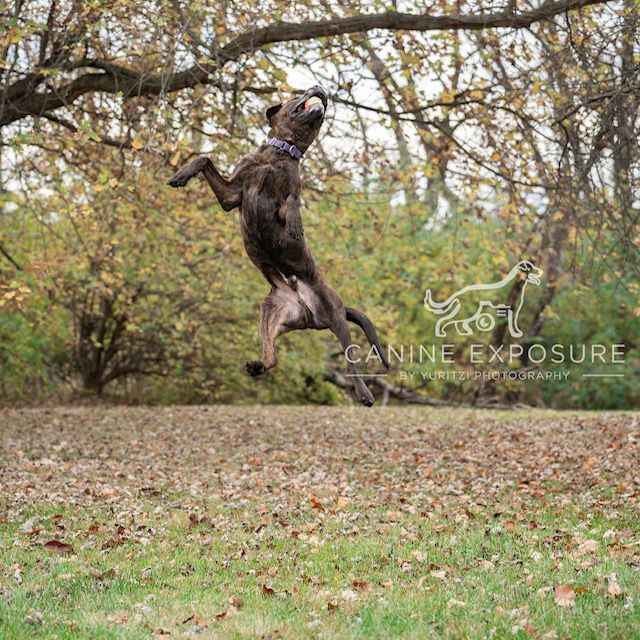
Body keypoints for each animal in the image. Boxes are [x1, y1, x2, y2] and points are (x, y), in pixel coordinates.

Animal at [168, 85, 388, 404]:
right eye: (299, 93)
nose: (319, 87)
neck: (280, 152)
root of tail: (306, 312)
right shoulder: (232, 194)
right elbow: (204, 159)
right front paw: (180, 175)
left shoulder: (286, 191)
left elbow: (294, 199)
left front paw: (295, 225)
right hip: (270, 314)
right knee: (272, 357)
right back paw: (257, 365)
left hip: (335, 316)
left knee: (351, 360)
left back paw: (364, 393)